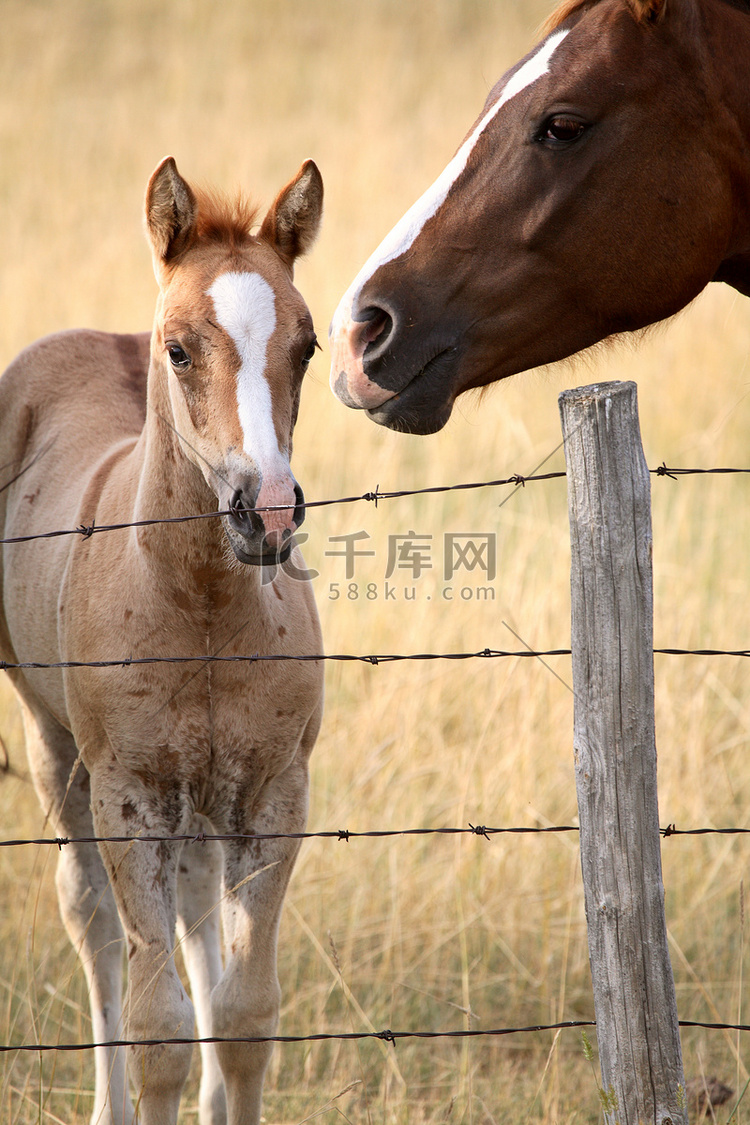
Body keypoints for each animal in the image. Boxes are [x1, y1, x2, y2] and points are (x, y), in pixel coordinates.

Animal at [0, 158, 323, 1125]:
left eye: (308, 346)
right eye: (178, 349)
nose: (268, 514)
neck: (203, 609)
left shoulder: (273, 791)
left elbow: (245, 1015)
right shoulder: (130, 796)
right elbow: (160, 1029)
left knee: (194, 905)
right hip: (54, 742)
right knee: (92, 920)